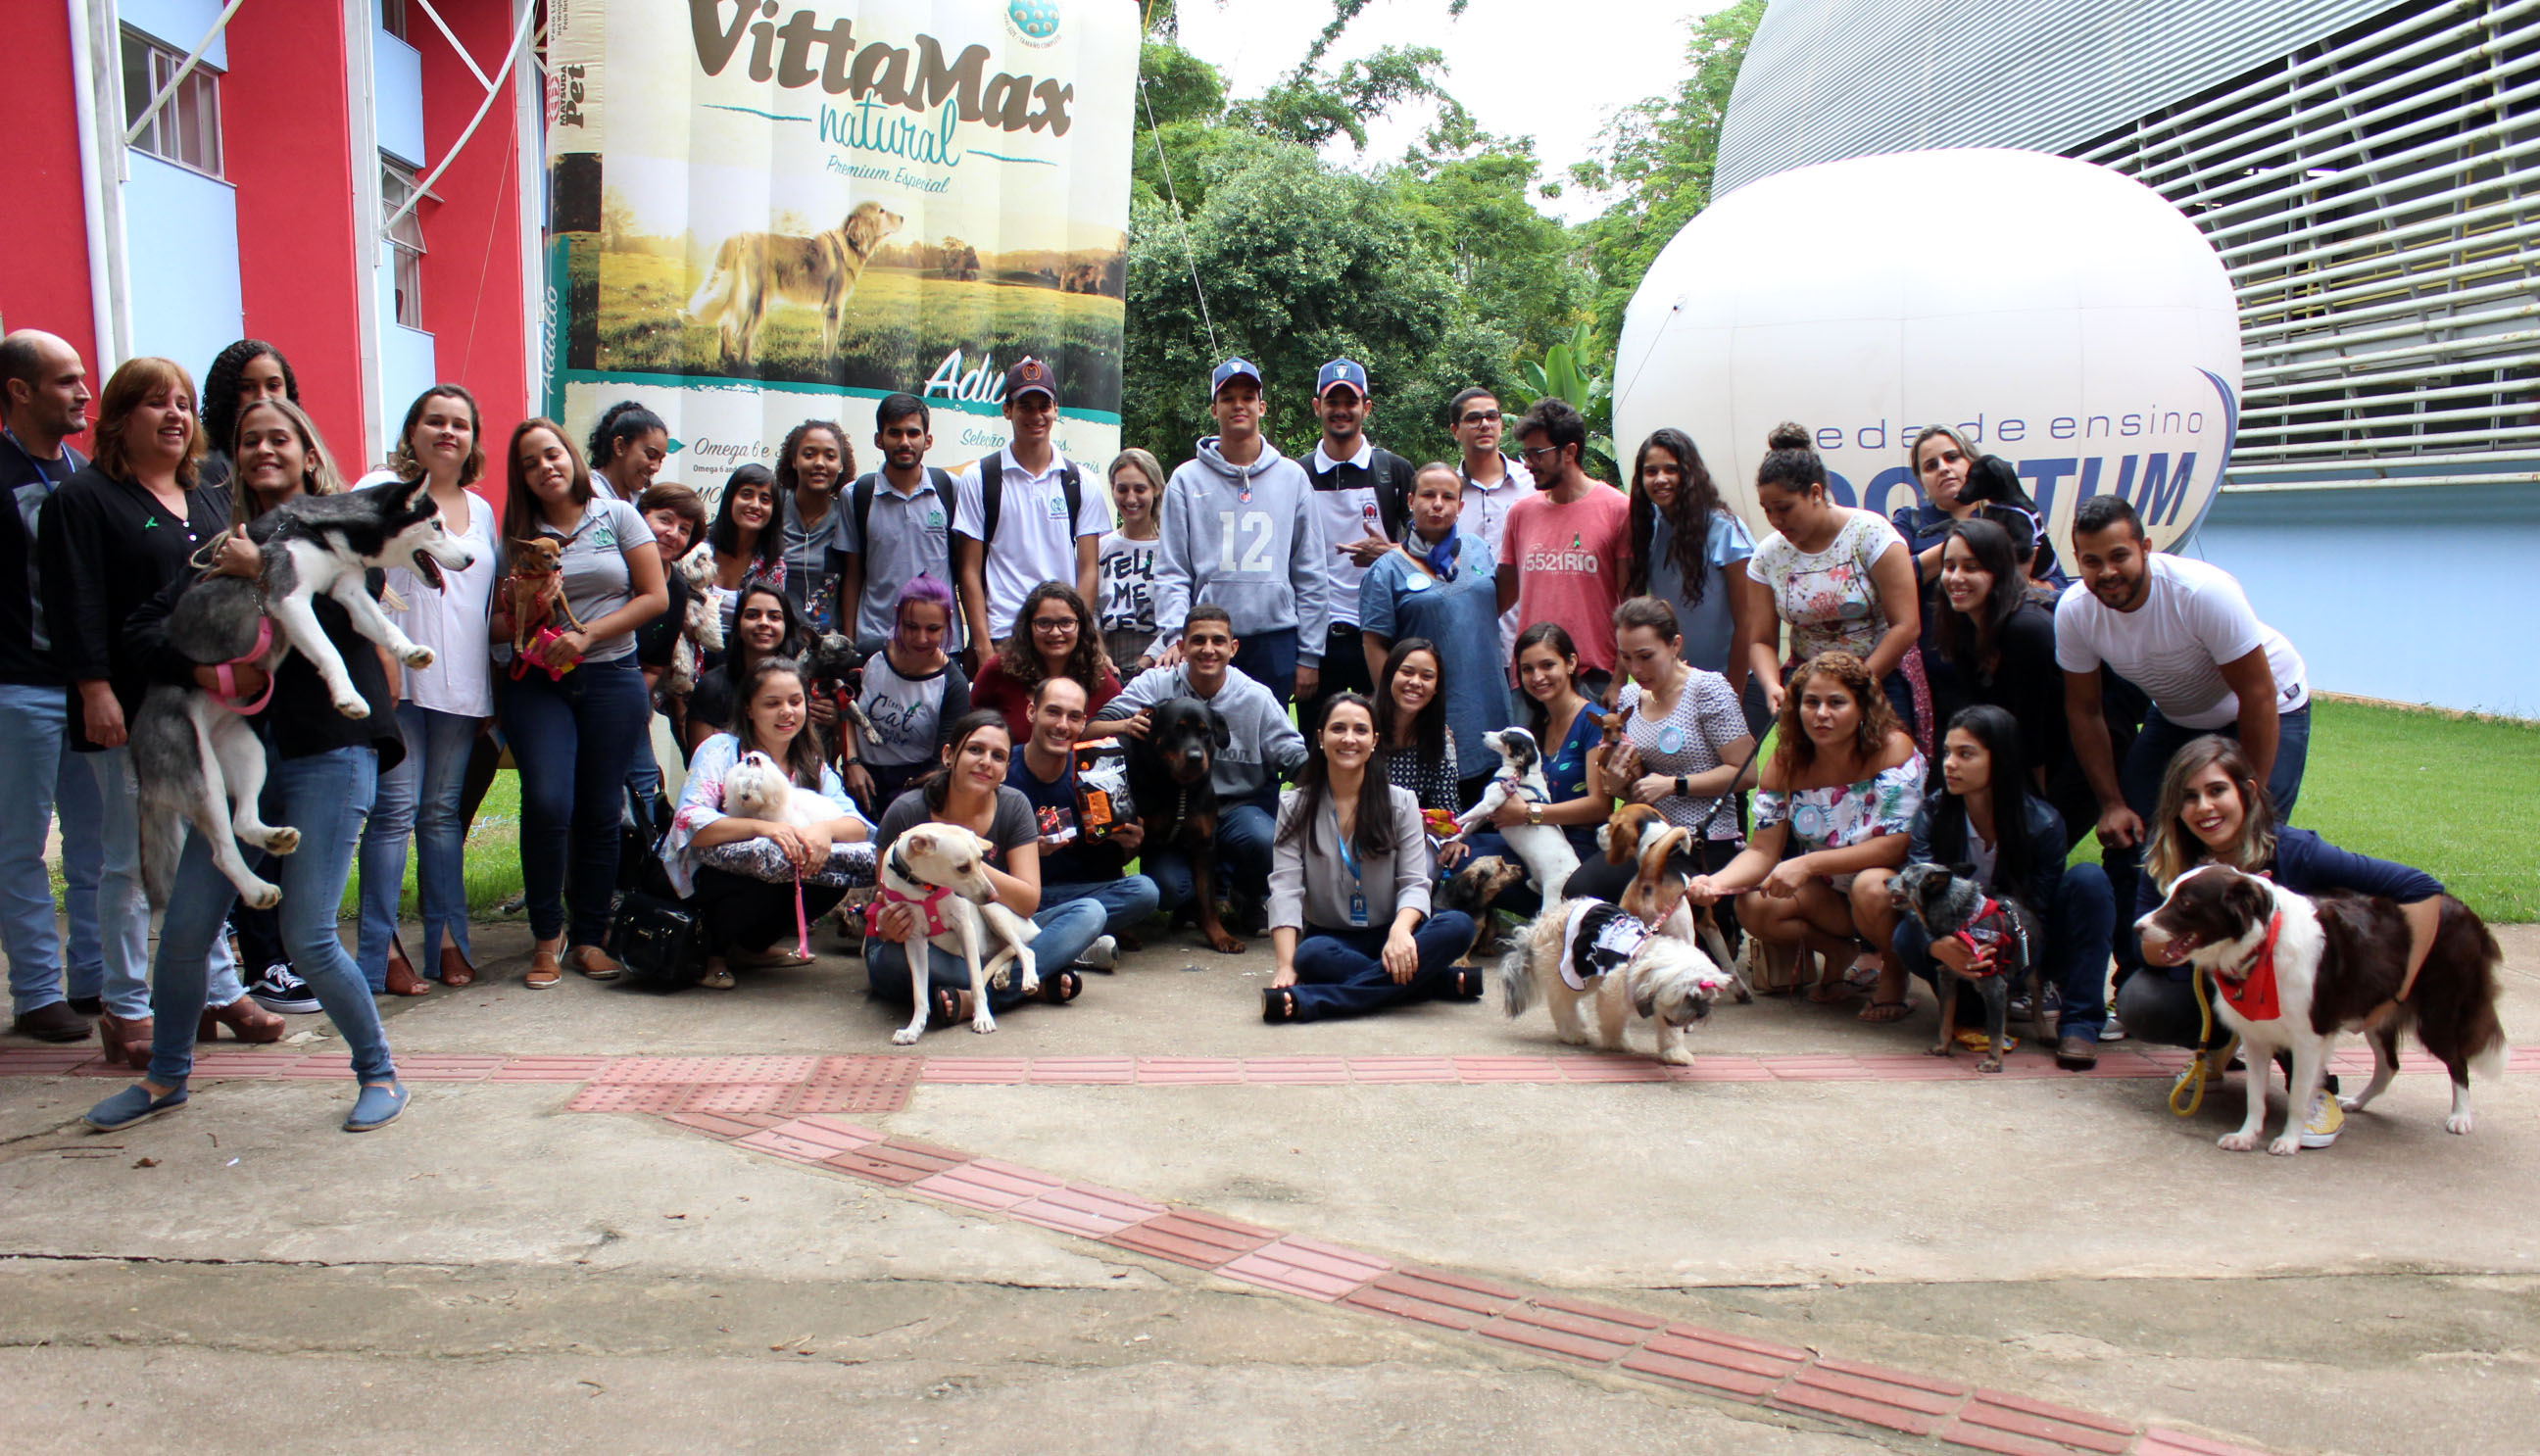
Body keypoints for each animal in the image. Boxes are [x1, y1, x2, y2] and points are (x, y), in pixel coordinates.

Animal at [1483, 889, 1747, 1062]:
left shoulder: (1664, 1006)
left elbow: (1670, 1031)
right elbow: (1613, 1021)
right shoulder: (1614, 994)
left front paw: (1675, 1053)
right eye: (1690, 996)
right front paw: (1616, 1042)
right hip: (1569, 972)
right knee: (1562, 1005)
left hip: (1587, 975)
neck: (1642, 957)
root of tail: (1540, 924)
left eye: (1709, 997)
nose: (1701, 1013)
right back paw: (1573, 1033)